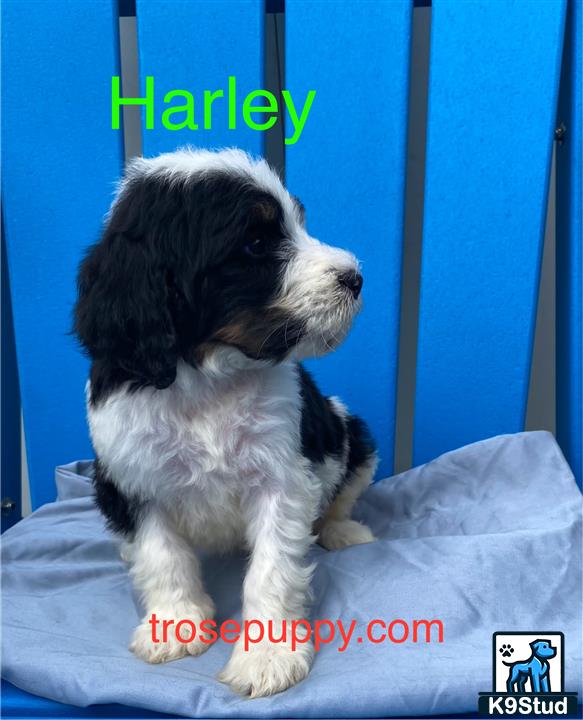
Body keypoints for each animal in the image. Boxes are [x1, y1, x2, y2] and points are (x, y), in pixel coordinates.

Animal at [74, 148, 378, 696]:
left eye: (299, 222)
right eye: (256, 244)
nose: (354, 277)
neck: (205, 381)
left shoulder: (282, 475)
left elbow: (271, 568)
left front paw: (268, 656)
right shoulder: (129, 477)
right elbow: (161, 555)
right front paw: (174, 623)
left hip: (352, 435)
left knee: (340, 496)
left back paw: (342, 531)